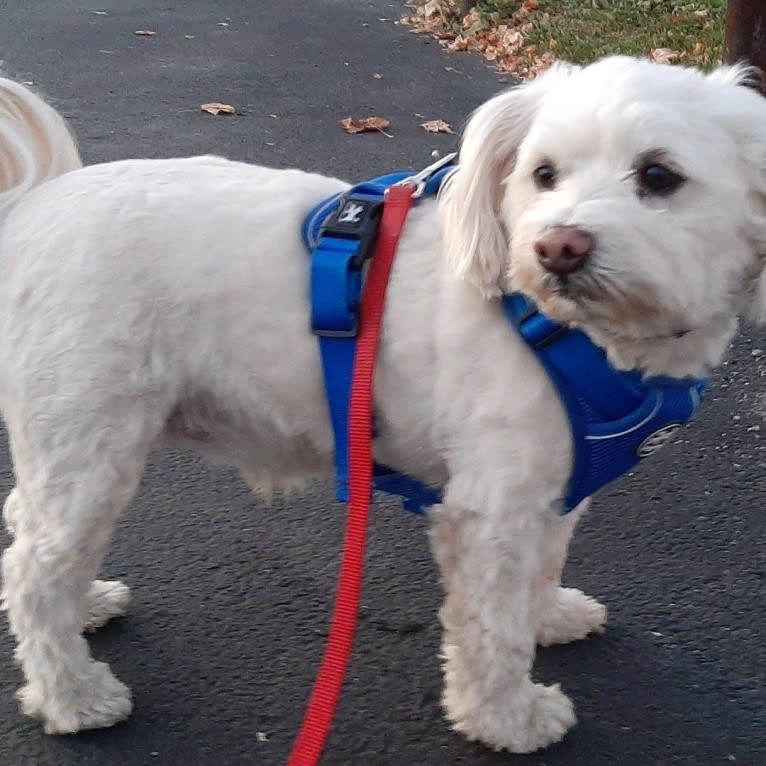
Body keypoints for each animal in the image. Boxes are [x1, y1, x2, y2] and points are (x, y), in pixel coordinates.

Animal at [1, 55, 766, 756]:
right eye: (544, 174)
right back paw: (73, 697)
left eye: (659, 177)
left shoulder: (551, 487)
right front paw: (507, 719)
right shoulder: (489, 514)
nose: (558, 246)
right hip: (89, 442)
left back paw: (85, 606)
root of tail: (33, 206)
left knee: (33, 537)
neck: (565, 329)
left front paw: (548, 616)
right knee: (33, 570)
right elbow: (492, 627)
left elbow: (543, 566)